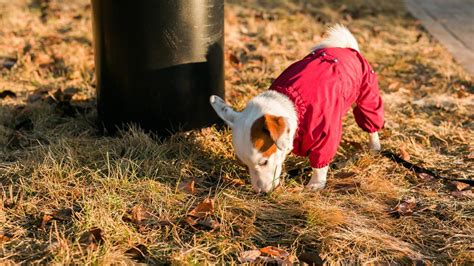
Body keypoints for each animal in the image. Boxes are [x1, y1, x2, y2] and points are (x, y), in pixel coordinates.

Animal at [209, 25, 384, 193]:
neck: (292, 103)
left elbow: (320, 163)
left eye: (264, 162)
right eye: (244, 164)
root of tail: (346, 48)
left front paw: (316, 184)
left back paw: (374, 146)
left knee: (371, 124)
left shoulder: (326, 135)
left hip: (367, 96)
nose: (261, 192)